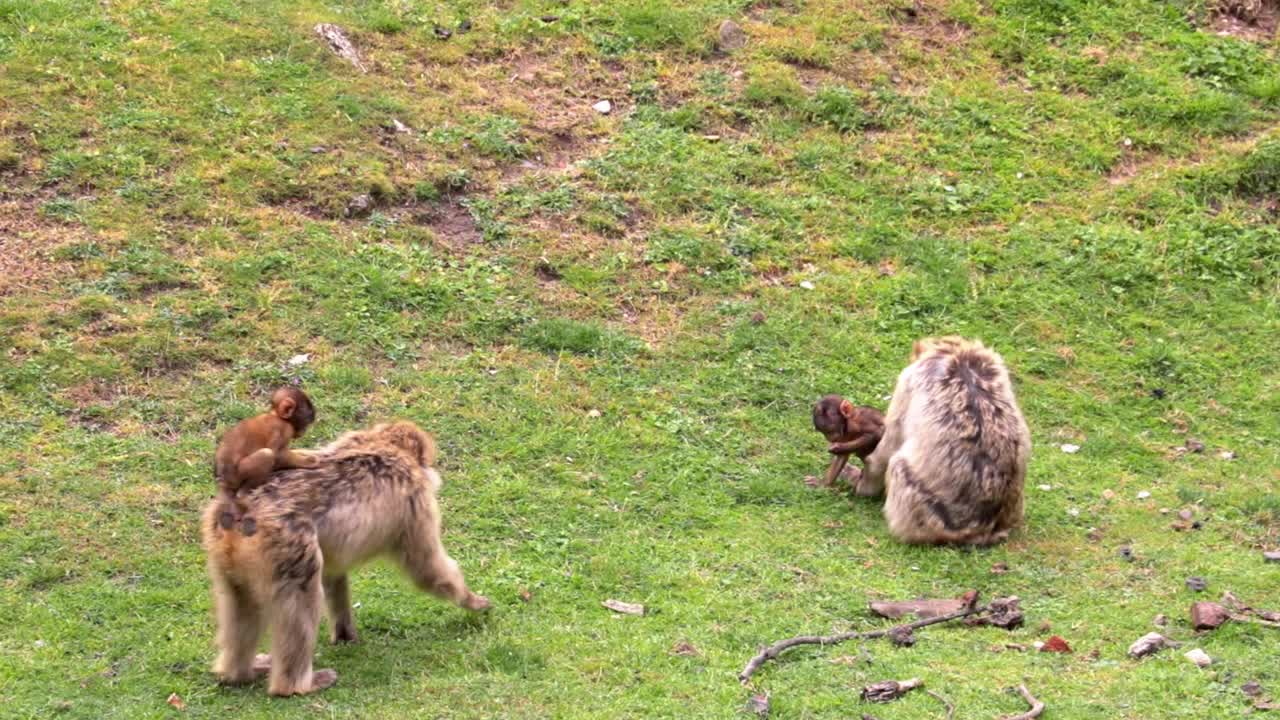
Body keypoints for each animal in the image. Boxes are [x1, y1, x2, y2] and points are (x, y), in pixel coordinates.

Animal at [204, 417, 488, 691]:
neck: (387, 446)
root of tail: (238, 511)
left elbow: (333, 571)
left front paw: (344, 633)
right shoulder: (415, 503)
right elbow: (426, 567)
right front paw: (472, 601)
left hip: (226, 553)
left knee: (241, 603)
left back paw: (239, 672)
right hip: (286, 544)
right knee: (303, 596)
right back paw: (296, 685)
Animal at [212, 386, 317, 527]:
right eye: (306, 422)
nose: (303, 432)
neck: (276, 415)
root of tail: (223, 478)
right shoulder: (283, 430)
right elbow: (278, 455)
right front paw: (307, 461)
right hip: (238, 475)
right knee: (267, 454)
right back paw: (246, 491)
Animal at [860, 335, 1029, 543]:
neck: (958, 353)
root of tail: (981, 529)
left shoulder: (909, 379)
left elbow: (887, 447)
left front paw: (864, 483)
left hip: (922, 510)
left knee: (897, 464)